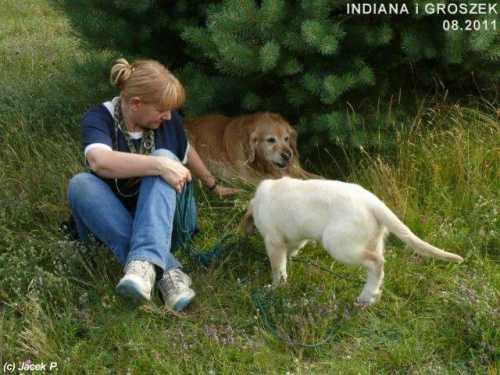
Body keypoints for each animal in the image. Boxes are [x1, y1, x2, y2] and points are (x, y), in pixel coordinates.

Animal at [244, 178, 462, 304]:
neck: (259, 201)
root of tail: (374, 203)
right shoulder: (293, 238)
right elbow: (288, 254)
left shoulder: (273, 242)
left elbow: (277, 268)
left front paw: (275, 289)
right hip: (372, 241)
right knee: (378, 267)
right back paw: (373, 293)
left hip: (337, 244)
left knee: (376, 262)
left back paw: (365, 297)